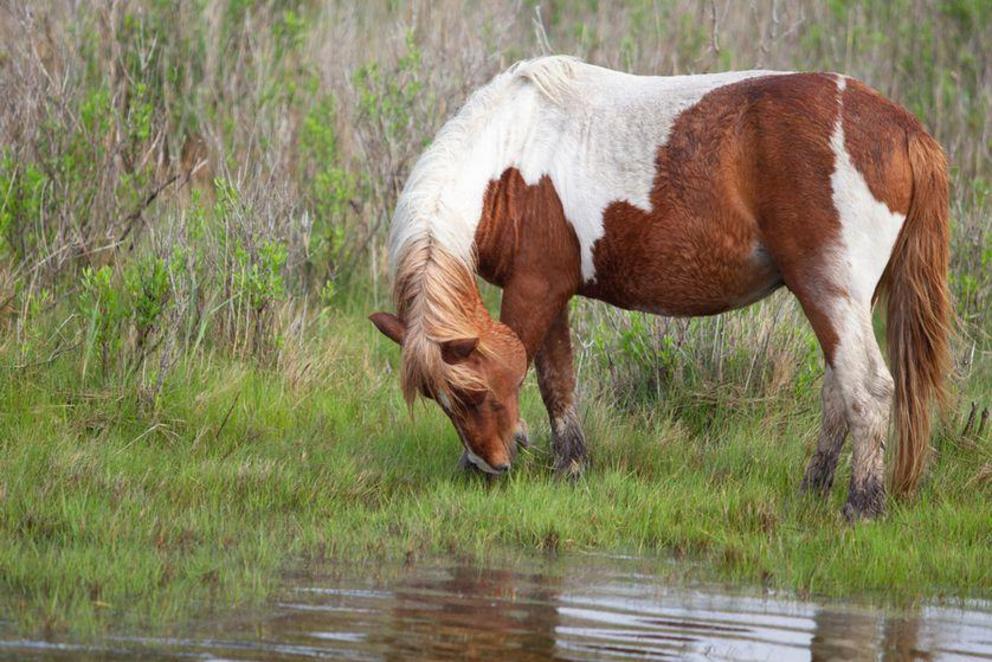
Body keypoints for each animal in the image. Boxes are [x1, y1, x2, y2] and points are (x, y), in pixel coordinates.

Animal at [368, 57, 948, 520]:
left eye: (474, 394)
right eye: (439, 399)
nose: (489, 467)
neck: (515, 153)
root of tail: (903, 129)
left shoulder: (535, 289)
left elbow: (544, 375)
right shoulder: (550, 291)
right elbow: (560, 381)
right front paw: (572, 467)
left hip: (828, 291)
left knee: (867, 388)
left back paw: (862, 506)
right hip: (841, 301)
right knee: (838, 390)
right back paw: (813, 487)